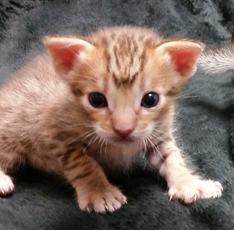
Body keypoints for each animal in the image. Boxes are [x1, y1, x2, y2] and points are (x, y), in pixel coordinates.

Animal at [0, 26, 222, 213]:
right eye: (96, 100)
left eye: (151, 99)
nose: (123, 129)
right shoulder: (56, 132)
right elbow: (83, 164)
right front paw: (100, 192)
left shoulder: (158, 133)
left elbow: (172, 158)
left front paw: (189, 183)